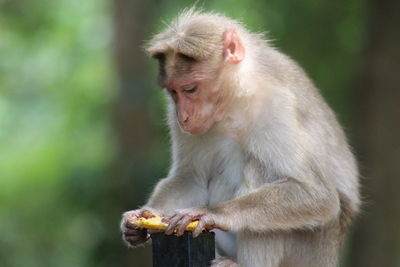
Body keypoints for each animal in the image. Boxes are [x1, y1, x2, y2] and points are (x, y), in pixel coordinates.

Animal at [120, 8, 360, 267]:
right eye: (173, 92)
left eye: (190, 89)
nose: (183, 117)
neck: (233, 101)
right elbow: (191, 177)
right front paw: (145, 215)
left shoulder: (276, 104)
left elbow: (318, 195)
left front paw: (213, 213)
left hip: (311, 253)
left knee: (259, 168)